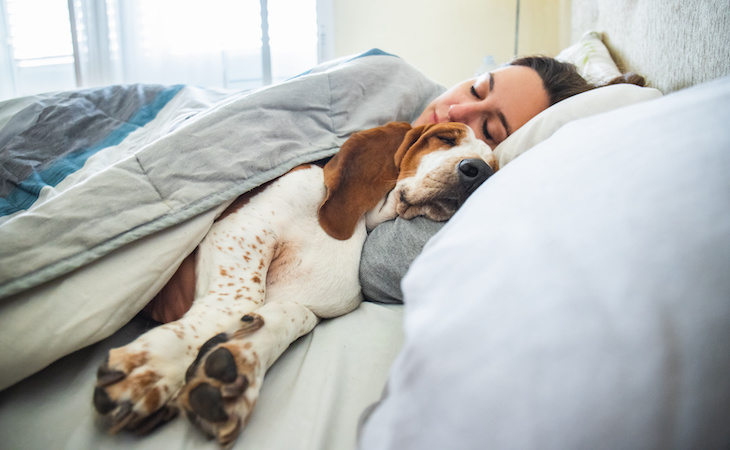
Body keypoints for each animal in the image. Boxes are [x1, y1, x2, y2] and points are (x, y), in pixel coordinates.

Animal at [91, 122, 494, 446]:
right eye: (445, 138)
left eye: (494, 161)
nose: (479, 171)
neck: (355, 226)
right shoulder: (241, 229)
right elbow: (241, 302)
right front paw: (155, 367)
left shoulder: (311, 304)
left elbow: (288, 316)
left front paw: (235, 366)